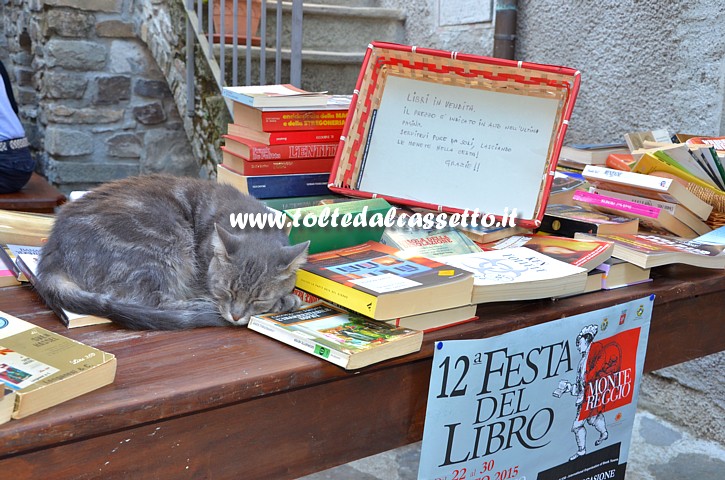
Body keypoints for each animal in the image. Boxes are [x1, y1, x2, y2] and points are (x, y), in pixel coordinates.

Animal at [35, 175, 306, 330]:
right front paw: (286, 301)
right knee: (152, 301)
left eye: (258, 299)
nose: (237, 316)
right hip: (164, 243)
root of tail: (51, 254)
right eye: (226, 290)